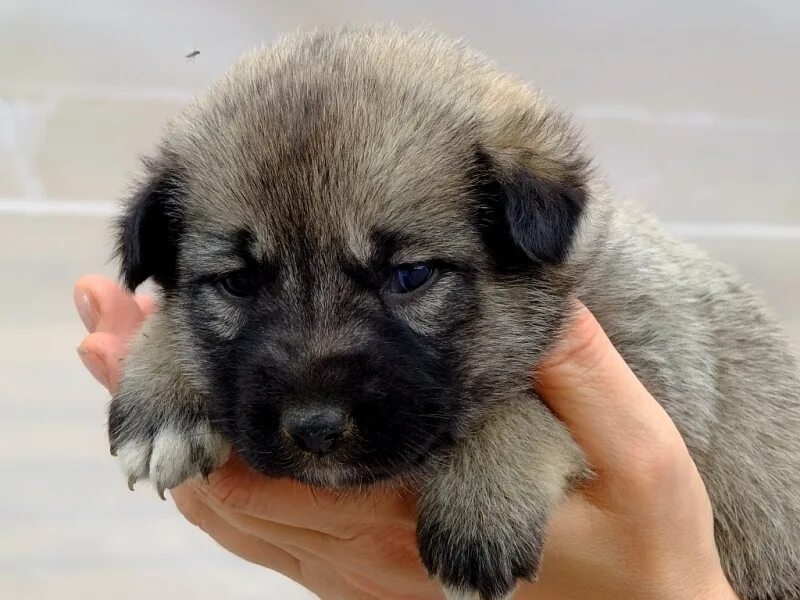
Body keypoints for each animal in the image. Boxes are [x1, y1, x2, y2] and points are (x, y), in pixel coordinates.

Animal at [108, 25, 800, 600]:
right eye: (238, 283)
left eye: (410, 276)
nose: (314, 430)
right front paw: (162, 393)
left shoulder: (657, 390)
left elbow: (528, 406)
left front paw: (483, 497)